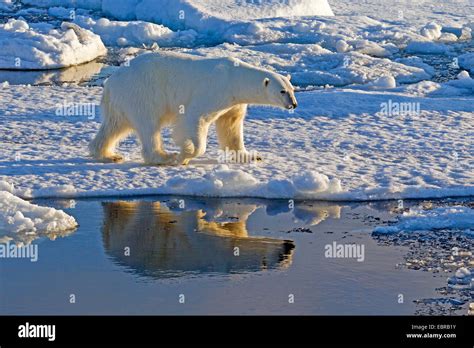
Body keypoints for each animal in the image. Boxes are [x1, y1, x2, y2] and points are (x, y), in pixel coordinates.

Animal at [88, 52, 296, 166]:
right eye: (282, 91)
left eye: (292, 89)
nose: (293, 104)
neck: (234, 77)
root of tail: (111, 81)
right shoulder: (214, 89)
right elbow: (196, 117)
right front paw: (184, 154)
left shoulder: (233, 101)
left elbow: (231, 125)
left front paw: (250, 156)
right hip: (142, 92)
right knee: (149, 126)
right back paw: (164, 157)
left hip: (122, 100)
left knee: (115, 125)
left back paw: (108, 155)